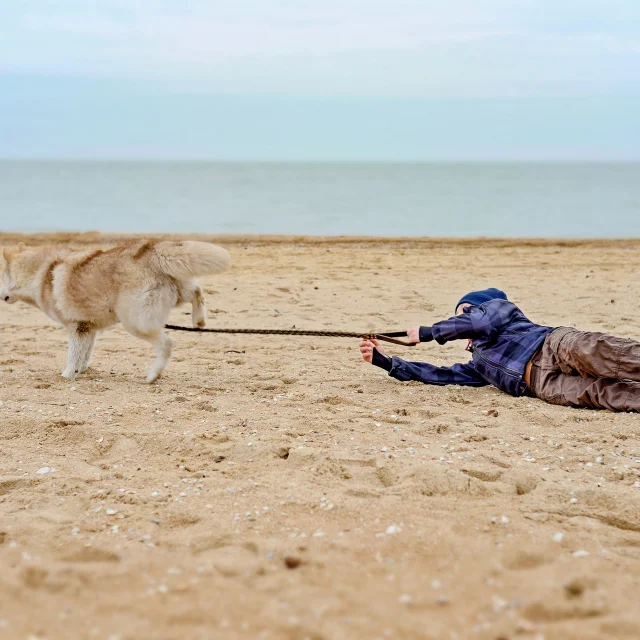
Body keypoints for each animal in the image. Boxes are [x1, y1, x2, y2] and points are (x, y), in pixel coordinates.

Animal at [0, 239, 230, 380]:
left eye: (1, 277)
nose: (0, 297)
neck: (42, 273)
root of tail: (151, 250)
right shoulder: (88, 329)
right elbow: (85, 353)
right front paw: (81, 370)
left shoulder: (76, 327)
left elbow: (73, 354)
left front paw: (67, 375)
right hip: (177, 292)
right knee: (197, 292)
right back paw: (199, 320)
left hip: (135, 322)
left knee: (167, 344)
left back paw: (153, 375)